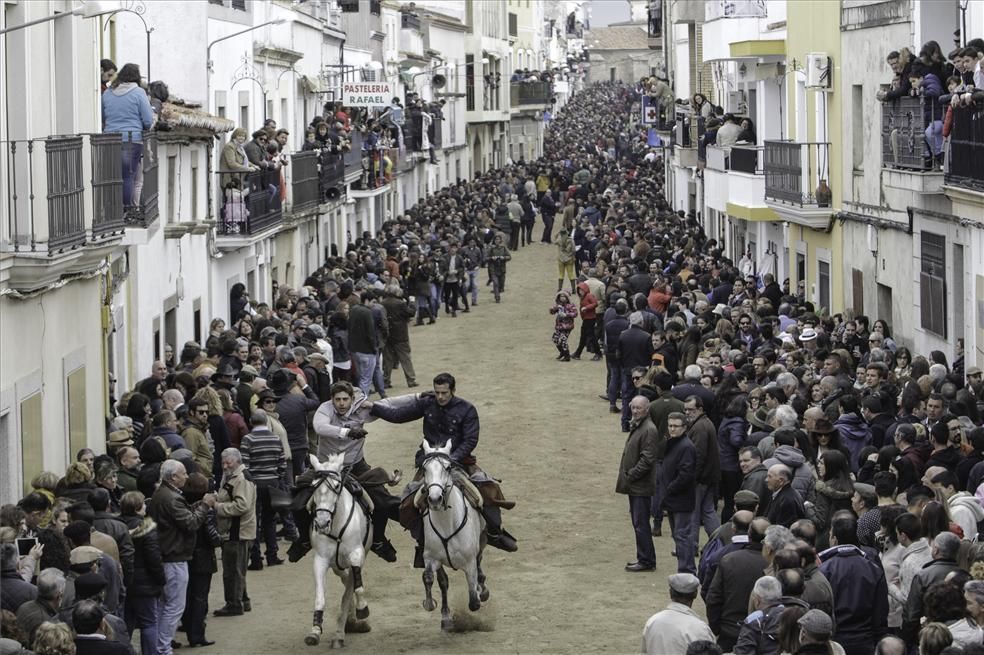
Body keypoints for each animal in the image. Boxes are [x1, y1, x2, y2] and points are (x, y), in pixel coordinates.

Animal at [306, 454, 370, 648]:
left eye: (335, 486)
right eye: (313, 486)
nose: (321, 523)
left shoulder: (357, 553)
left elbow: (356, 588)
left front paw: (362, 609)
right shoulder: (320, 560)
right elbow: (320, 597)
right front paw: (315, 630)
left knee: (349, 587)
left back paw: (342, 631)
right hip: (336, 564)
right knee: (344, 578)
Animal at [418, 440, 488, 632]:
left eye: (448, 467)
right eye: (424, 468)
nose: (435, 499)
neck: (447, 524)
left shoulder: (469, 562)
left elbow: (473, 601)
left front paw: (478, 592)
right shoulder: (431, 558)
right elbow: (429, 577)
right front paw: (431, 605)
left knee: (480, 563)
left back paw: (483, 589)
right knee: (443, 582)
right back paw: (446, 617)